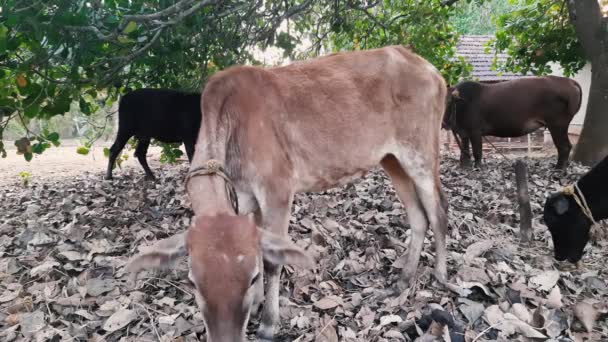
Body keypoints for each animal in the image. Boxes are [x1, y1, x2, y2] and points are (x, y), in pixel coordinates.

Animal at [126, 46, 448, 342]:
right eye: (193, 281)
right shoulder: (247, 198)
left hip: (421, 151)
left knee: (438, 211)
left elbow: (273, 260)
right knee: (418, 216)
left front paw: (268, 324)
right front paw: (258, 304)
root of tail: (432, 70)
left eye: (251, 278)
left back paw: (441, 274)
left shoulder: (277, 189)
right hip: (391, 158)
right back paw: (403, 280)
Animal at [444, 76, 580, 170]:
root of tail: (569, 81)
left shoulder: (475, 131)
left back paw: (559, 168)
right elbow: (464, 151)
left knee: (564, 147)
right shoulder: (463, 132)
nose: (444, 122)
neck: (463, 103)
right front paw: (464, 165)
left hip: (557, 125)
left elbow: (477, 152)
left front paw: (477, 167)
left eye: (449, 102)